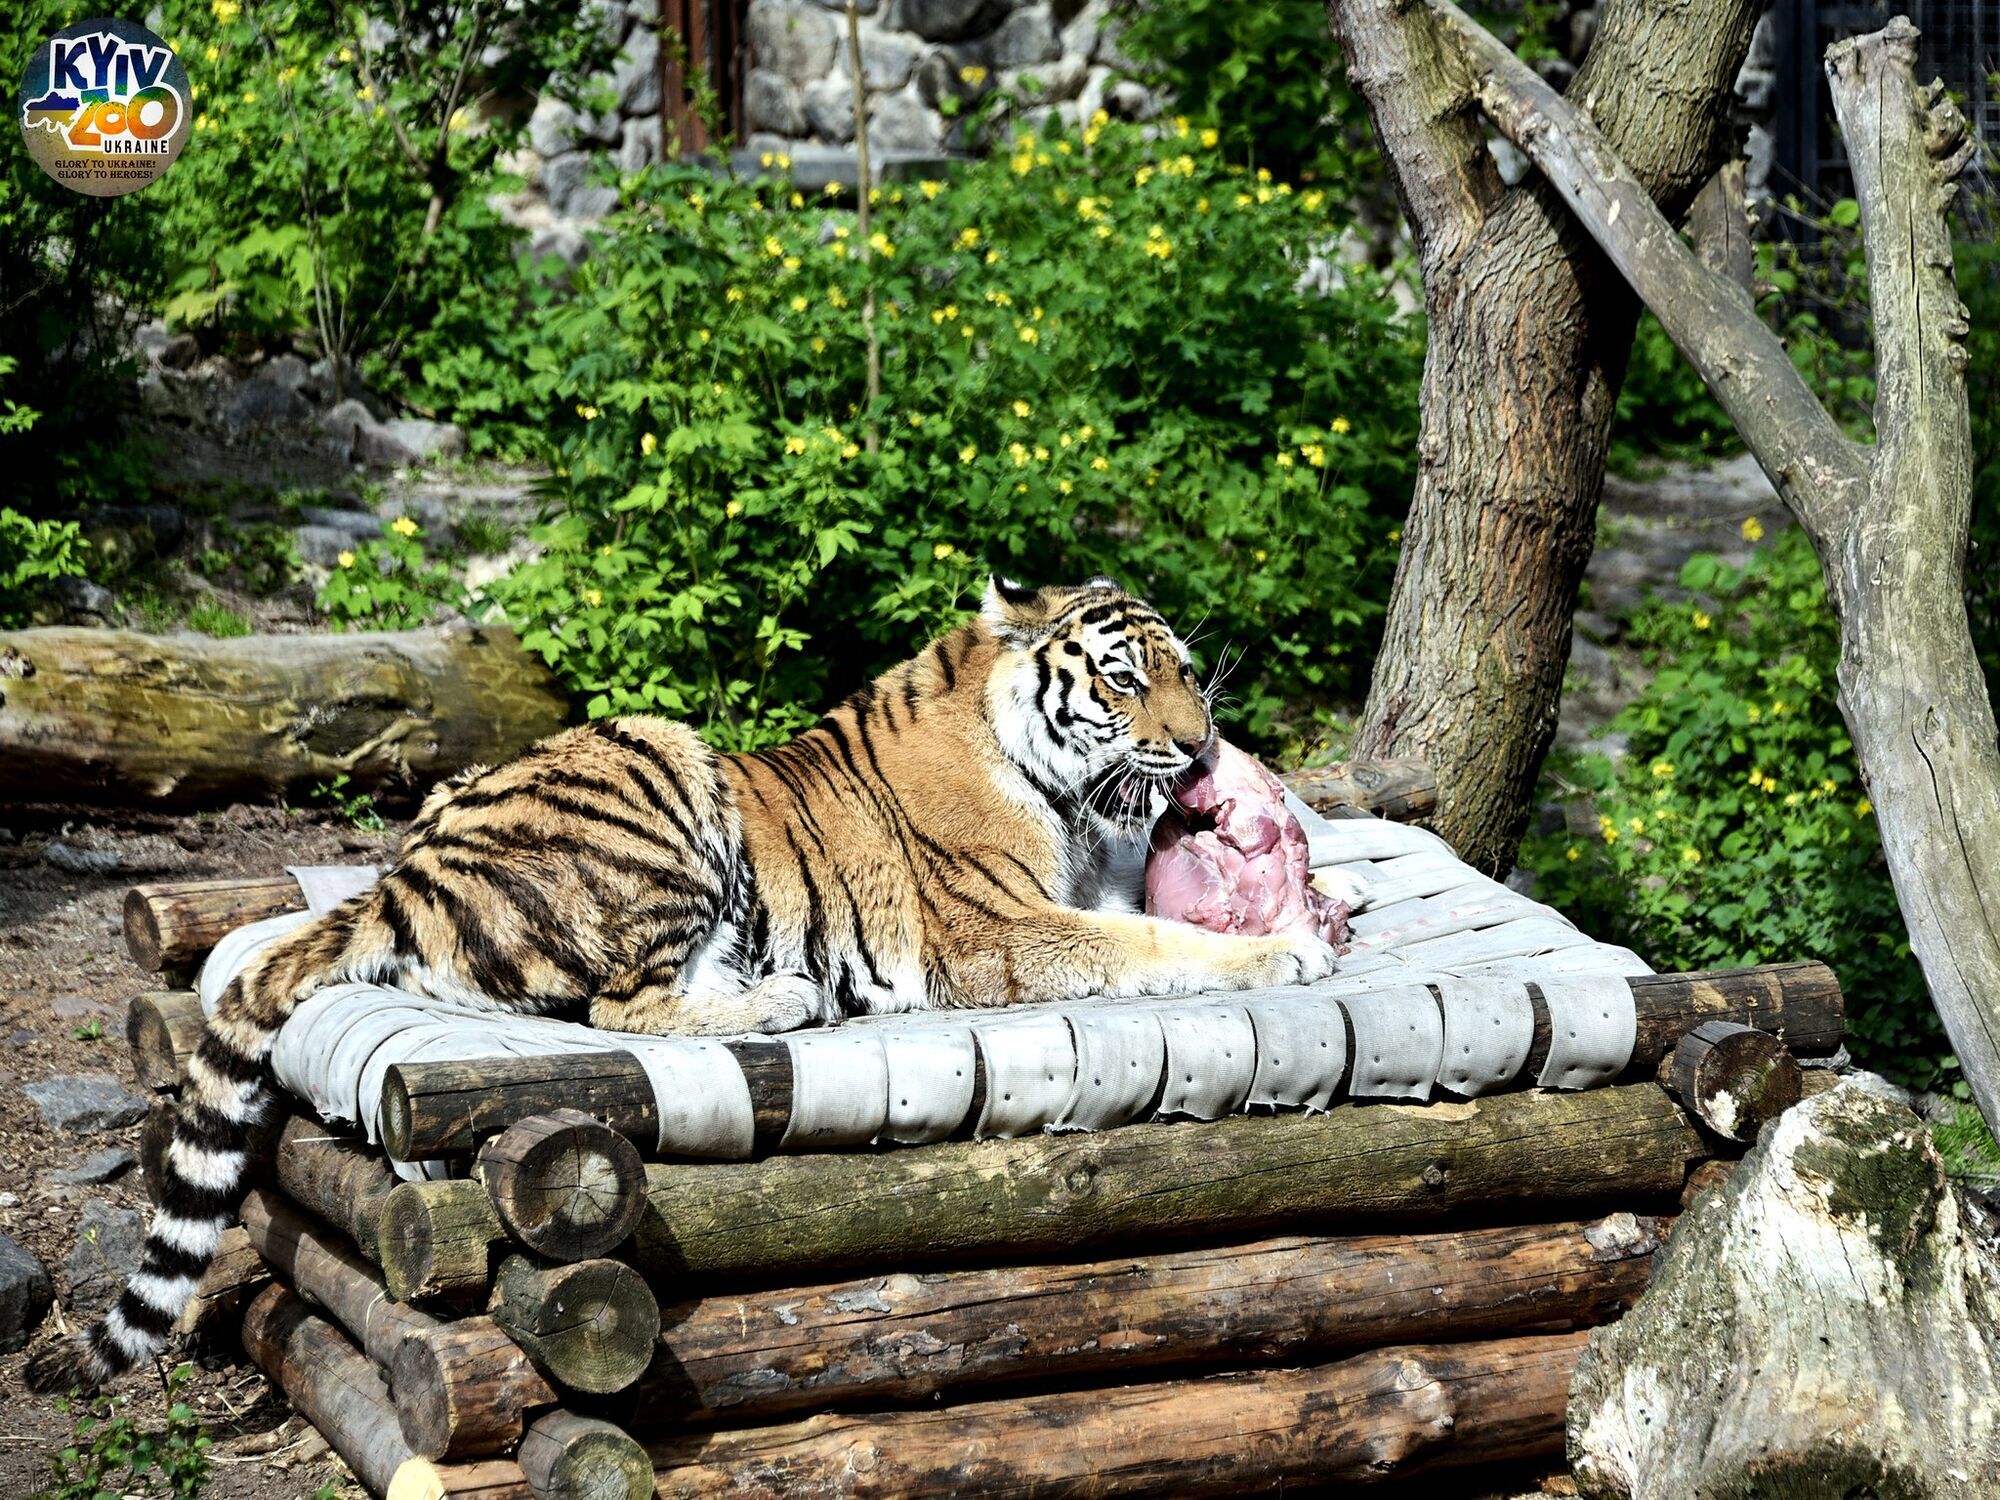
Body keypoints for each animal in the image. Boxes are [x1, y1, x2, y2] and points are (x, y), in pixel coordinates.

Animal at [31, 572, 1336, 1384]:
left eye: (1182, 673)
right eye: (1119, 679)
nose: (1202, 747)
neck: (1050, 780)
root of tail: (412, 865)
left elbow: (1142, 916)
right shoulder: (996, 934)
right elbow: (1155, 946)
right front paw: (1289, 948)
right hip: (658, 756)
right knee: (619, 1005)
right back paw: (784, 998)